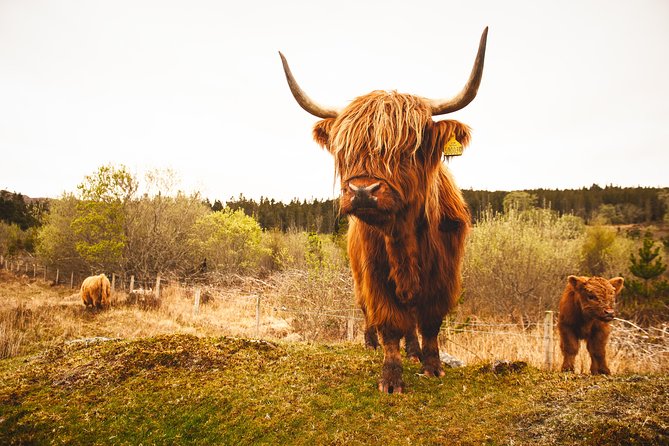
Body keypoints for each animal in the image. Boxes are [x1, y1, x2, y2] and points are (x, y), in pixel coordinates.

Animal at [280, 27, 488, 392]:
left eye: (407, 149)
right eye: (345, 150)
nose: (363, 191)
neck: (405, 237)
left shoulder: (444, 275)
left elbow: (430, 322)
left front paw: (432, 366)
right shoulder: (375, 274)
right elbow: (389, 322)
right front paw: (391, 378)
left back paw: (415, 352)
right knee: (369, 312)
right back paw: (371, 344)